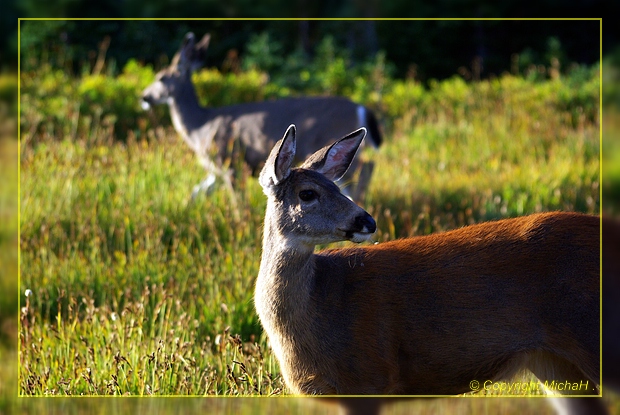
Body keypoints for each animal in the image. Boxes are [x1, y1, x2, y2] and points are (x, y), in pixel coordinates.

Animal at [142, 32, 382, 202]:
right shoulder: (215, 170)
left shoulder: (229, 160)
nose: (144, 97)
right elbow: (196, 193)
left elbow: (238, 202)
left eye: (161, 77)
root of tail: (362, 108)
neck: (200, 127)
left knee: (365, 168)